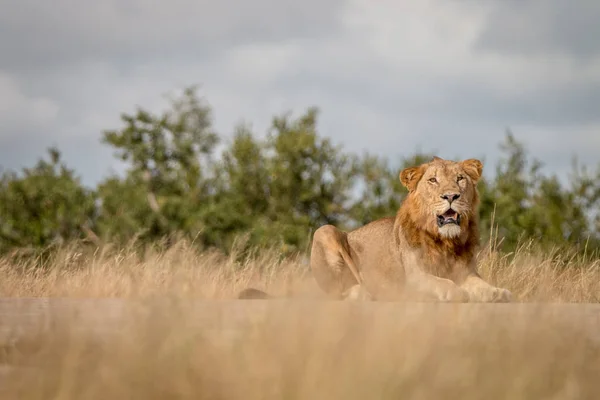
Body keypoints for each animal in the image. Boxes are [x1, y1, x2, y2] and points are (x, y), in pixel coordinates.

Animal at [239, 156, 510, 304]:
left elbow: (481, 285)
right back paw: (364, 293)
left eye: (460, 179)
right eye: (433, 180)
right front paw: (456, 292)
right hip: (325, 231)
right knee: (337, 293)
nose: (451, 196)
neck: (445, 242)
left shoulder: (467, 272)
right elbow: (444, 284)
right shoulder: (413, 277)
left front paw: (499, 292)